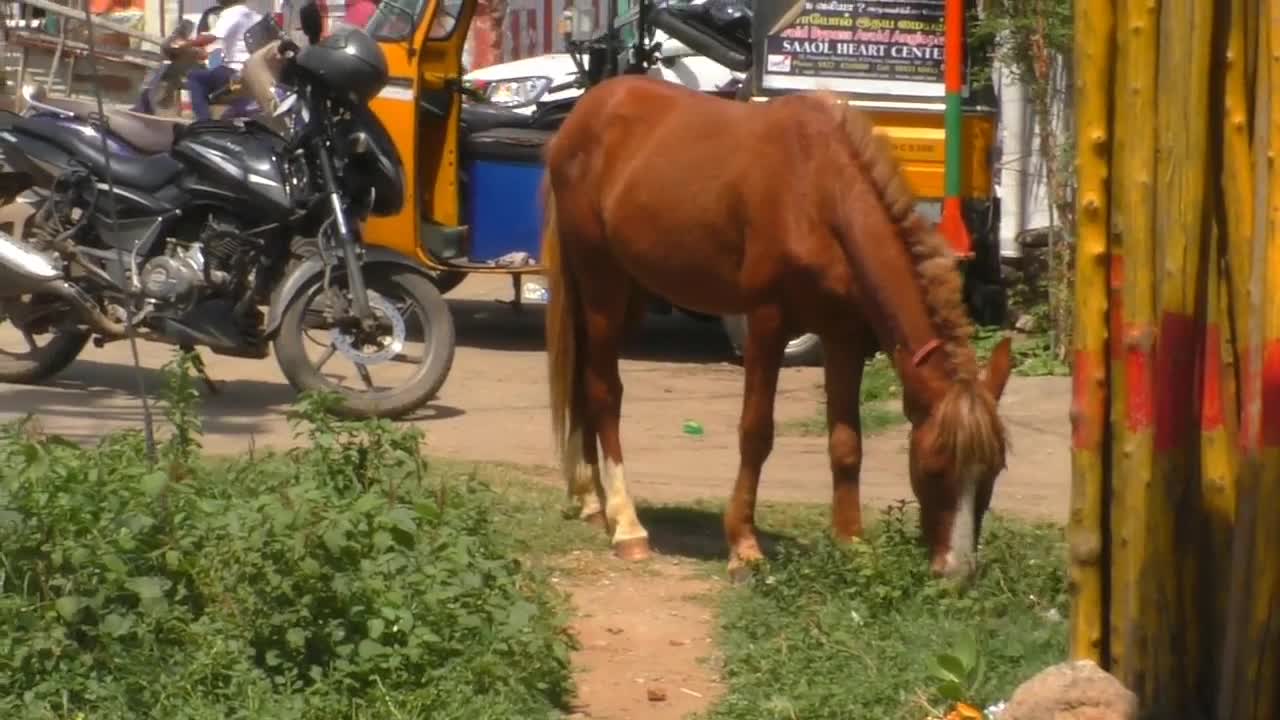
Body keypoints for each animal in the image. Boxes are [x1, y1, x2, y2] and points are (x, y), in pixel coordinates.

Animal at [537, 74, 1008, 576]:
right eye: (934, 465)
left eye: (993, 470)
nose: (957, 571)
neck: (819, 192)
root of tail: (586, 112)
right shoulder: (767, 323)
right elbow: (756, 432)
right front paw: (744, 545)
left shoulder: (844, 334)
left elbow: (847, 442)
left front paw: (850, 542)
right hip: (600, 281)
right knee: (605, 390)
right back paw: (627, 525)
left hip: (630, 291)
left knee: (585, 380)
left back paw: (593, 501)